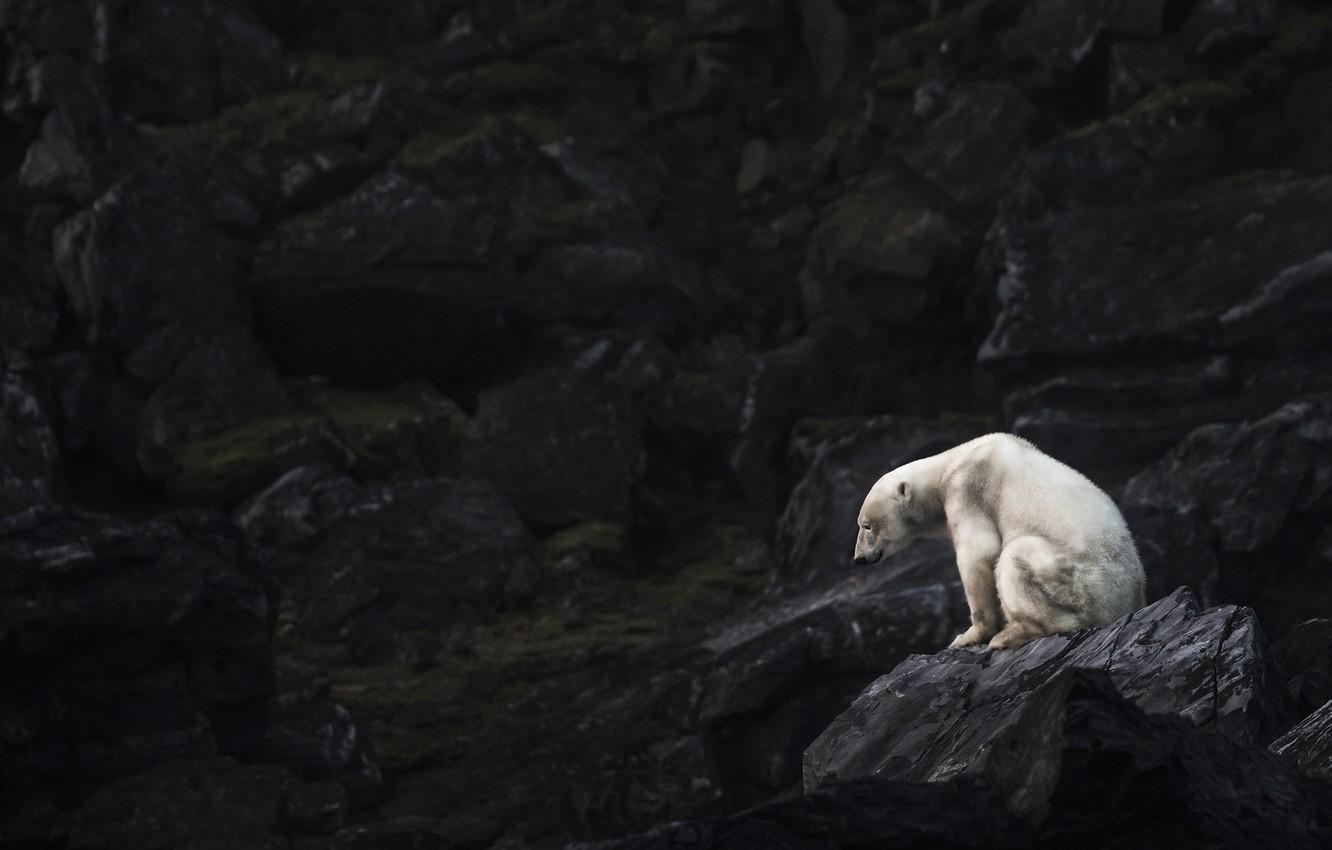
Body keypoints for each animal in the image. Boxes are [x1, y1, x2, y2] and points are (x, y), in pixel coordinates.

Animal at [852, 433, 1145, 650]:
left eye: (867, 525)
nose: (859, 558)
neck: (951, 463)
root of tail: (1129, 601)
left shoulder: (969, 488)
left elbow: (978, 553)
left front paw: (967, 636)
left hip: (1081, 582)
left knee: (1016, 555)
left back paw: (1009, 636)